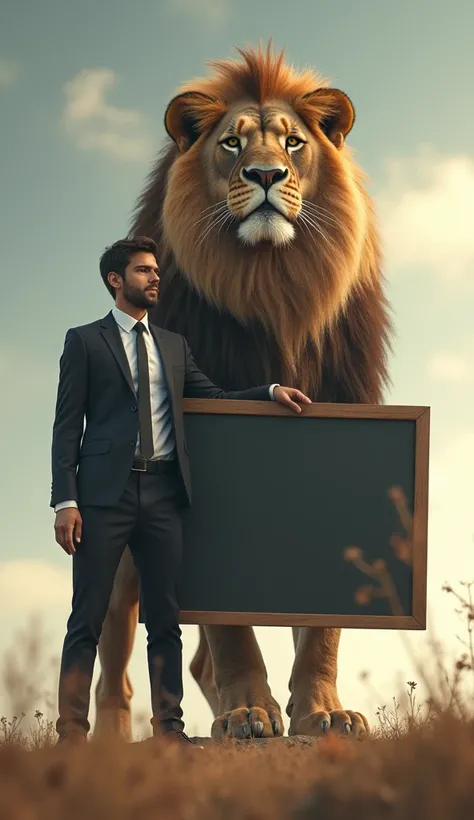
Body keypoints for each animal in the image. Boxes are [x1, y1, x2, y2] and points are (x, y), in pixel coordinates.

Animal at [92, 43, 392, 744]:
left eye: (293, 142)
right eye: (231, 142)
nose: (264, 174)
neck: (273, 286)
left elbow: (324, 626)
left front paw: (324, 712)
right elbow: (227, 624)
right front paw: (247, 713)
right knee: (112, 646)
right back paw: (111, 738)